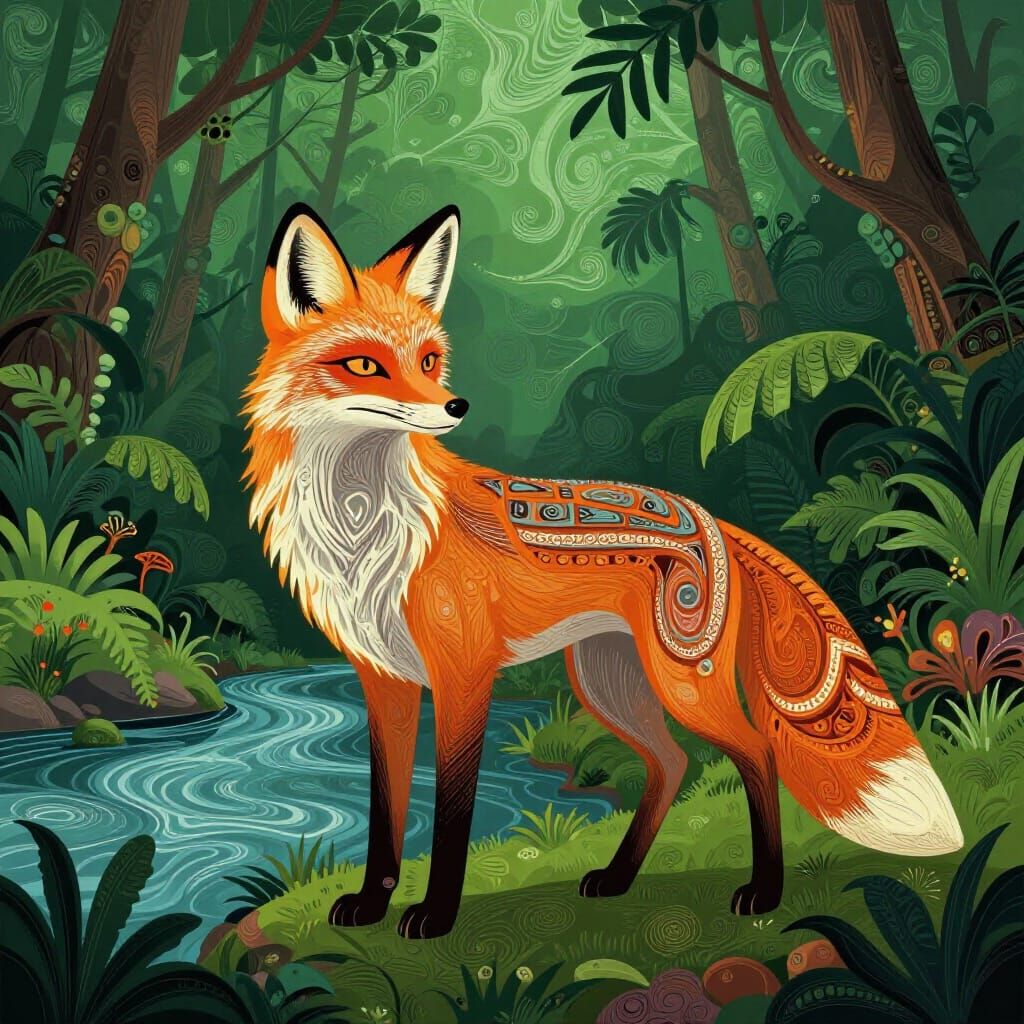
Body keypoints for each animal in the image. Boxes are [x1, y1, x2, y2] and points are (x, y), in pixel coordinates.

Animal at [243, 202, 964, 940]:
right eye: (364, 365)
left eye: (428, 361)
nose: (455, 407)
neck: (364, 527)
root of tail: (715, 518)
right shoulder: (384, 682)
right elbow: (386, 811)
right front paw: (370, 904)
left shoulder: (464, 677)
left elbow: (451, 817)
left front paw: (436, 915)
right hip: (608, 684)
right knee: (673, 765)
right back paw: (618, 879)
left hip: (682, 684)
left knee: (756, 753)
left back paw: (763, 892)